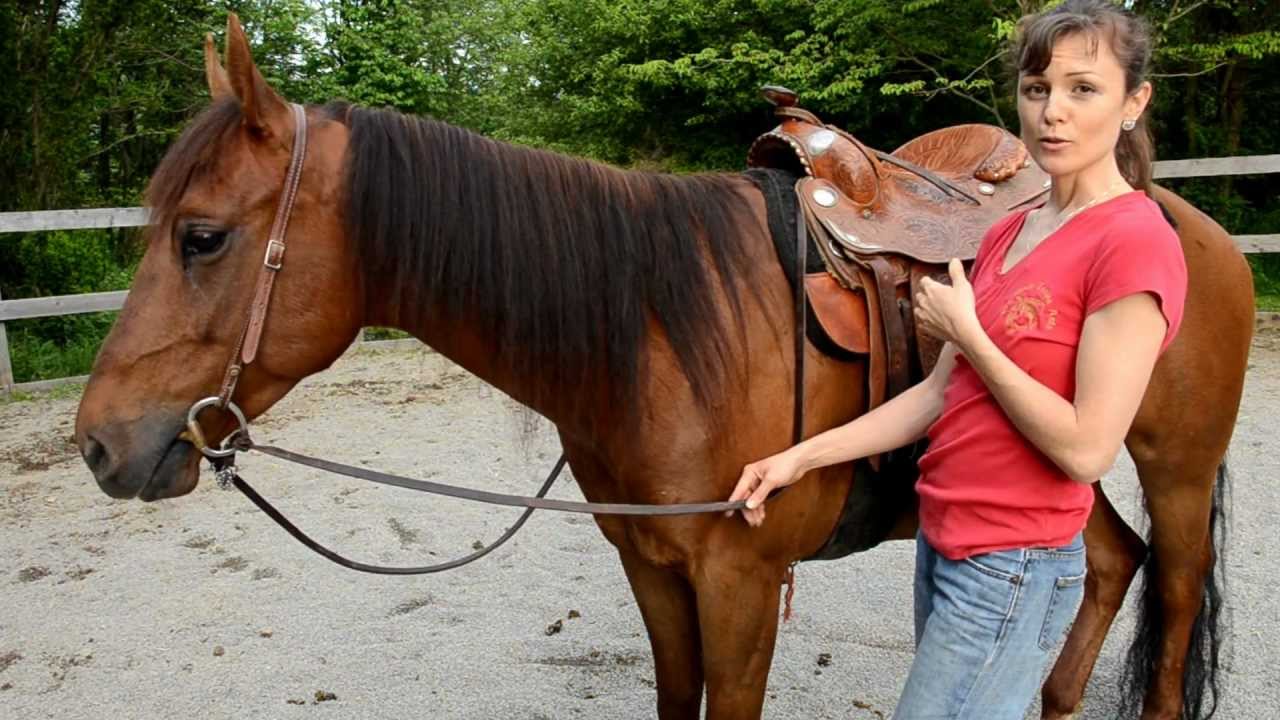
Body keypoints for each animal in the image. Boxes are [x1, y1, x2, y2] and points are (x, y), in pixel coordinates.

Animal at [73, 16, 1253, 720]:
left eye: (203, 238)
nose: (96, 442)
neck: (660, 339)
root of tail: (1191, 221)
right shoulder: (652, 570)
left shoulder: (741, 584)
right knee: (1108, 562)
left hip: (1176, 470)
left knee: (1170, 600)